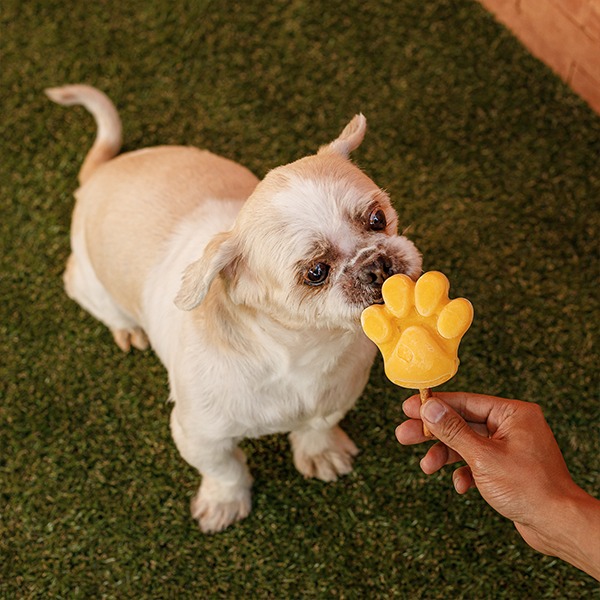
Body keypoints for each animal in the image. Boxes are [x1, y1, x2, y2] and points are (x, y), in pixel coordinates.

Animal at [45, 85, 422, 536]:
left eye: (377, 217)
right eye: (316, 272)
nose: (377, 264)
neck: (302, 351)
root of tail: (101, 172)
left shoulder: (336, 396)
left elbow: (317, 427)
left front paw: (319, 453)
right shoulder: (199, 436)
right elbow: (225, 471)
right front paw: (224, 503)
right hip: (90, 284)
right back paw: (126, 327)